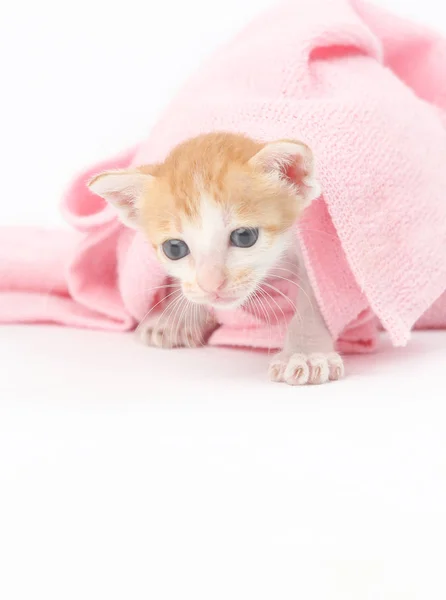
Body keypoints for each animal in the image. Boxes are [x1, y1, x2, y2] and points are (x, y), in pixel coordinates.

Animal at [88, 132, 344, 384]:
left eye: (244, 236)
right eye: (174, 249)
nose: (211, 284)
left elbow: (317, 294)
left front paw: (305, 352)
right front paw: (176, 318)